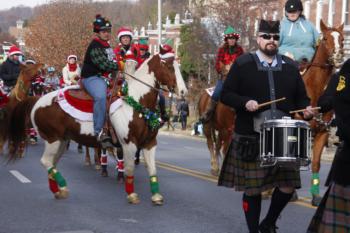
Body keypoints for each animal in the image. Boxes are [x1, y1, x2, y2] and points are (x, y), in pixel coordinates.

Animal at [7, 54, 178, 204]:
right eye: (169, 67)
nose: (180, 91)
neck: (134, 102)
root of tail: (37, 100)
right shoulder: (127, 142)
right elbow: (127, 165)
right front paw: (128, 189)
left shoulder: (148, 143)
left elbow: (149, 167)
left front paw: (155, 195)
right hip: (52, 139)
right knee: (46, 161)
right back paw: (64, 184)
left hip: (61, 140)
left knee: (52, 162)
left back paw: (59, 190)